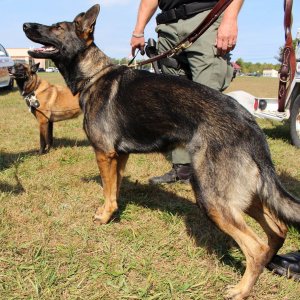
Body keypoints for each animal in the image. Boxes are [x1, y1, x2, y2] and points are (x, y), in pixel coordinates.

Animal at [23, 4, 300, 300]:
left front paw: (104, 216)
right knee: (278, 229)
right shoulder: (119, 156)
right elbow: (115, 188)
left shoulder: (104, 153)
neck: (93, 75)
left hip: (212, 197)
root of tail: (250, 122)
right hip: (244, 194)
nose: (25, 25)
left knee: (256, 247)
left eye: (57, 27)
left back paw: (241, 289)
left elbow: (107, 190)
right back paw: (269, 263)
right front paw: (113, 212)